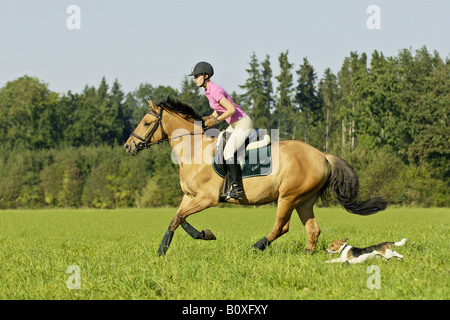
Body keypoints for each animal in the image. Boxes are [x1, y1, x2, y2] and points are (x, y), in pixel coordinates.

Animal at [123, 96, 386, 256]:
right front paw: (164, 250)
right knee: (312, 230)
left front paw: (201, 236)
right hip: (304, 200)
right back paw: (307, 254)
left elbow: (180, 218)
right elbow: (177, 219)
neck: (195, 149)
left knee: (281, 227)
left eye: (146, 122)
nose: (128, 147)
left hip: (288, 197)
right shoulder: (189, 196)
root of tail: (322, 154)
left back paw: (256, 247)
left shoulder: (207, 198)